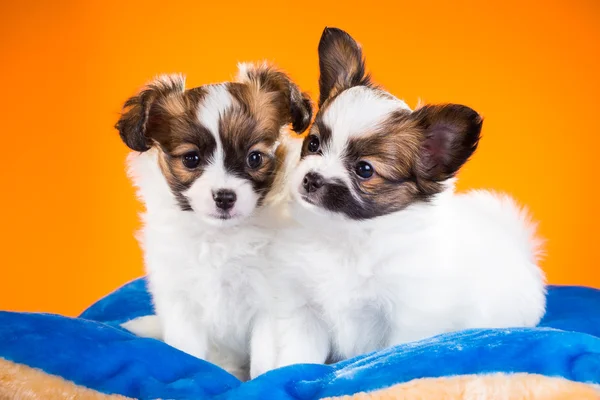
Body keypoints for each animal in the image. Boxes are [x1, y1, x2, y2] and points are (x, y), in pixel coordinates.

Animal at [116, 61, 314, 378]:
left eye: (255, 158)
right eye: (191, 159)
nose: (224, 197)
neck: (220, 236)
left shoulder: (270, 302)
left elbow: (264, 360)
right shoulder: (180, 300)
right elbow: (187, 354)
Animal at [262, 28, 544, 370]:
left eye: (364, 170)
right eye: (314, 144)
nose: (311, 178)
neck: (344, 237)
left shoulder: (409, 316)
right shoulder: (304, 311)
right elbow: (296, 358)